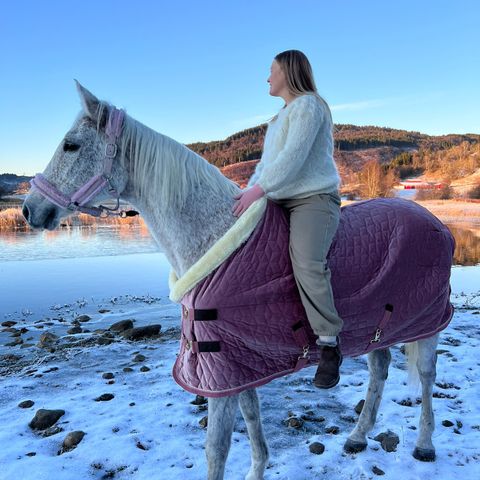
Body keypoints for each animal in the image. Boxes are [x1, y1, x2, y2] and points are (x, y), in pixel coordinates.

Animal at [20, 80, 452, 478]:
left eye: (71, 145)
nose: (28, 210)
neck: (215, 236)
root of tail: (434, 222)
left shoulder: (221, 370)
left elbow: (217, 448)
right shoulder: (236, 365)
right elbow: (253, 421)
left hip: (427, 323)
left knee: (427, 377)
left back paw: (425, 445)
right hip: (380, 326)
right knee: (380, 367)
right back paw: (358, 437)